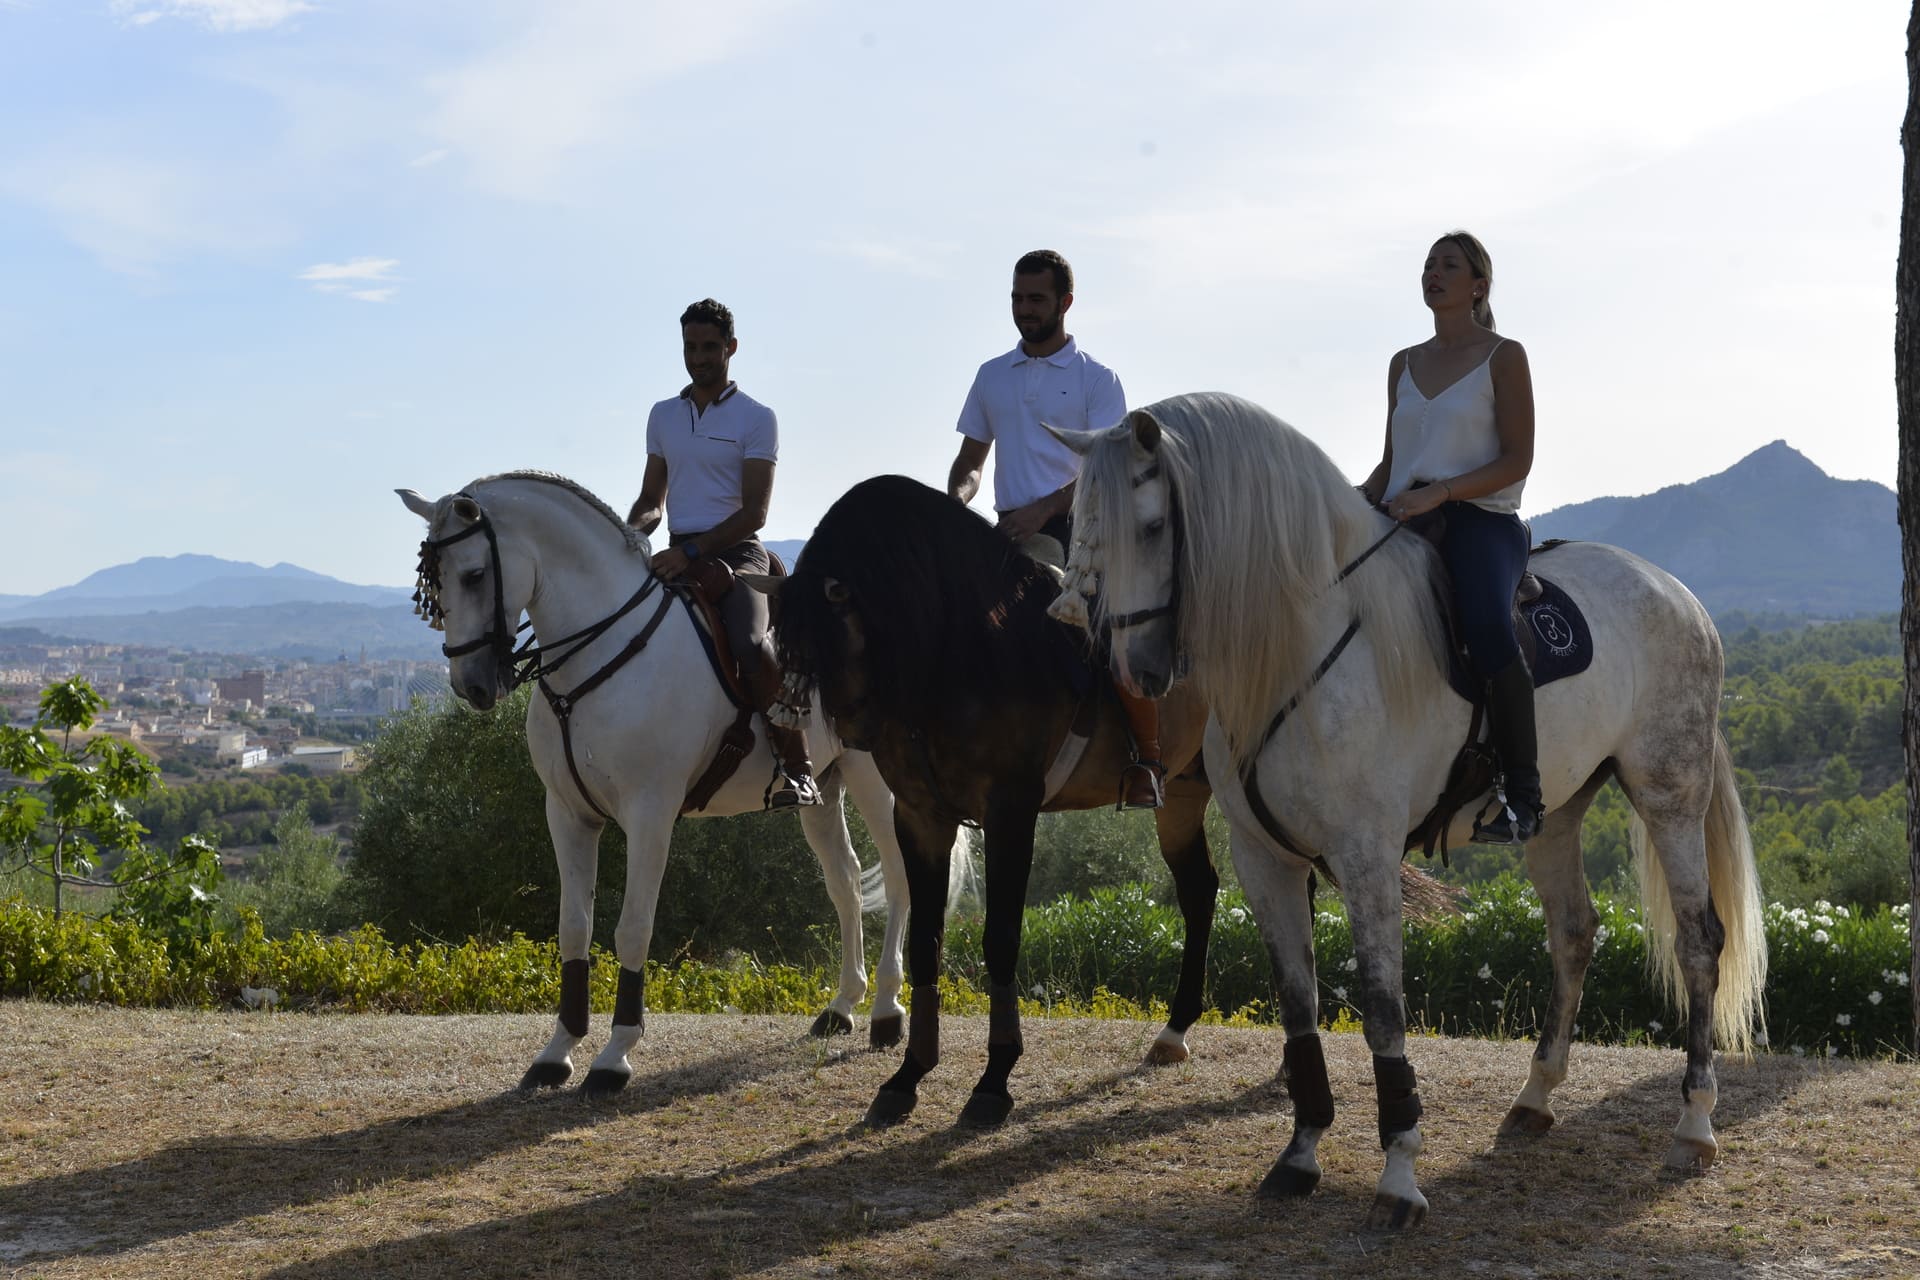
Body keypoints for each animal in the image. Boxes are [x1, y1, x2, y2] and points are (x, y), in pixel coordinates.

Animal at [397, 475, 952, 1097]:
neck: (599, 654)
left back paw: (886, 1012)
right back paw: (841, 1007)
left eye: (473, 575)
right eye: (433, 582)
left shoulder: (649, 814)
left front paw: (614, 1056)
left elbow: (633, 928)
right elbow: (573, 928)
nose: (470, 686)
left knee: (899, 877)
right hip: (824, 789)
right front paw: (557, 1052)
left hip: (874, 780)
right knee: (847, 882)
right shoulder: (566, 814)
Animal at [1059, 397, 1758, 1228]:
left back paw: (1694, 1124)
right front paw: (1300, 1153)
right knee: (1573, 933)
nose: (1136, 671)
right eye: (1079, 524)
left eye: (1154, 525)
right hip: (1557, 814)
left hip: (1668, 793)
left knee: (1698, 941)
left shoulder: (1366, 857)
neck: (1301, 647)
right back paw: (1535, 1097)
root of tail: (1674, 592)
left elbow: (1382, 1009)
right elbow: (1298, 1003)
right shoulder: (1266, 859)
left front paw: (1398, 1173)